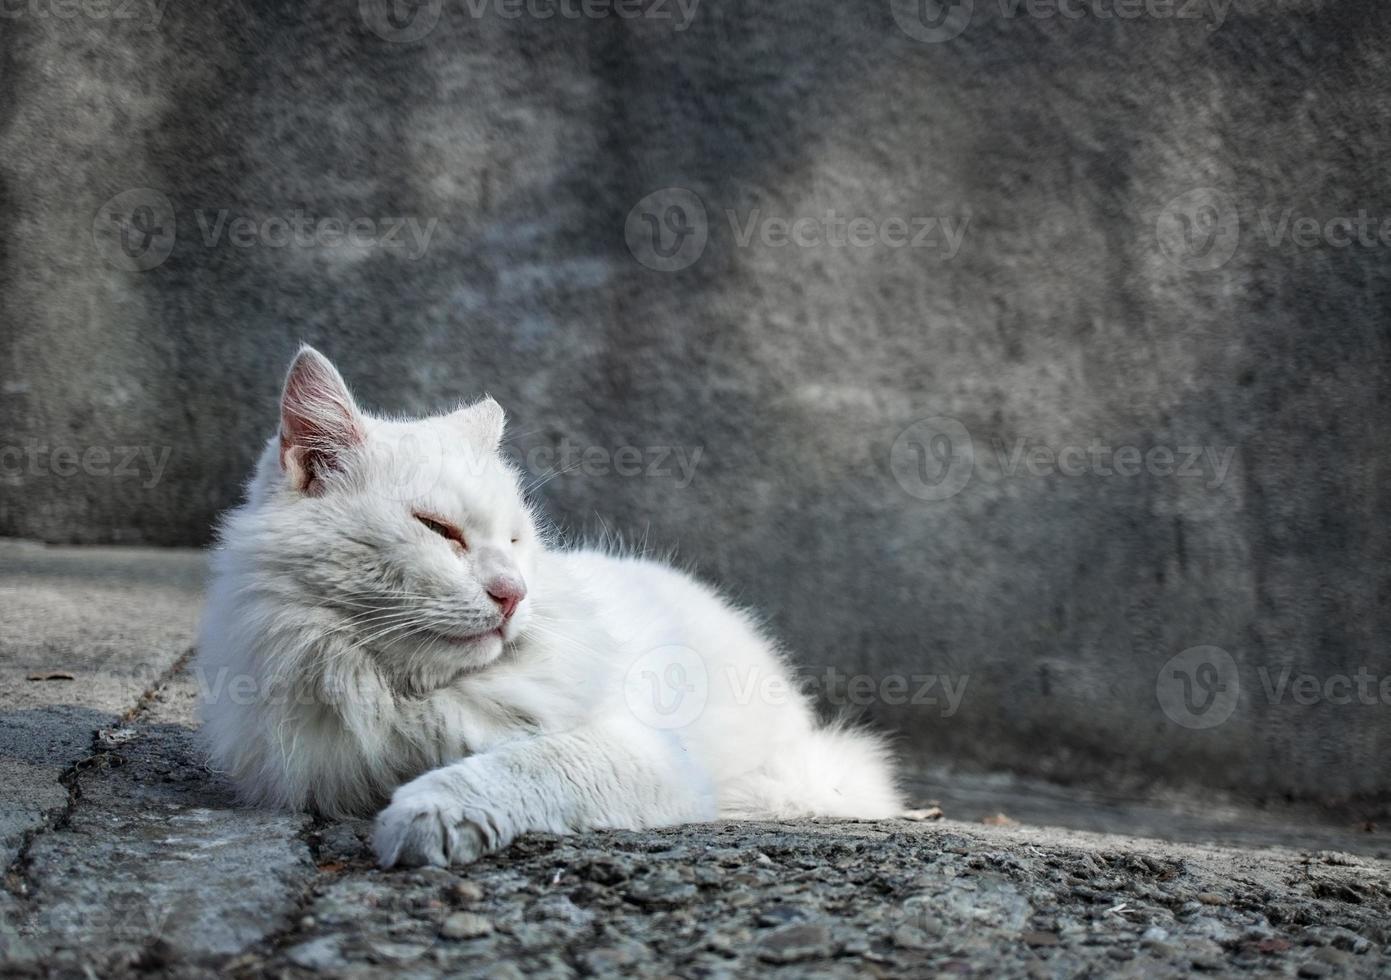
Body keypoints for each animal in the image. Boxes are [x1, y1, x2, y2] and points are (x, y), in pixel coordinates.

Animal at [198, 346, 901, 861]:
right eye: (438, 530)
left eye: (514, 540)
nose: (512, 594)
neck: (407, 694)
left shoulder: (636, 755)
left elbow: (521, 767)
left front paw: (427, 817)